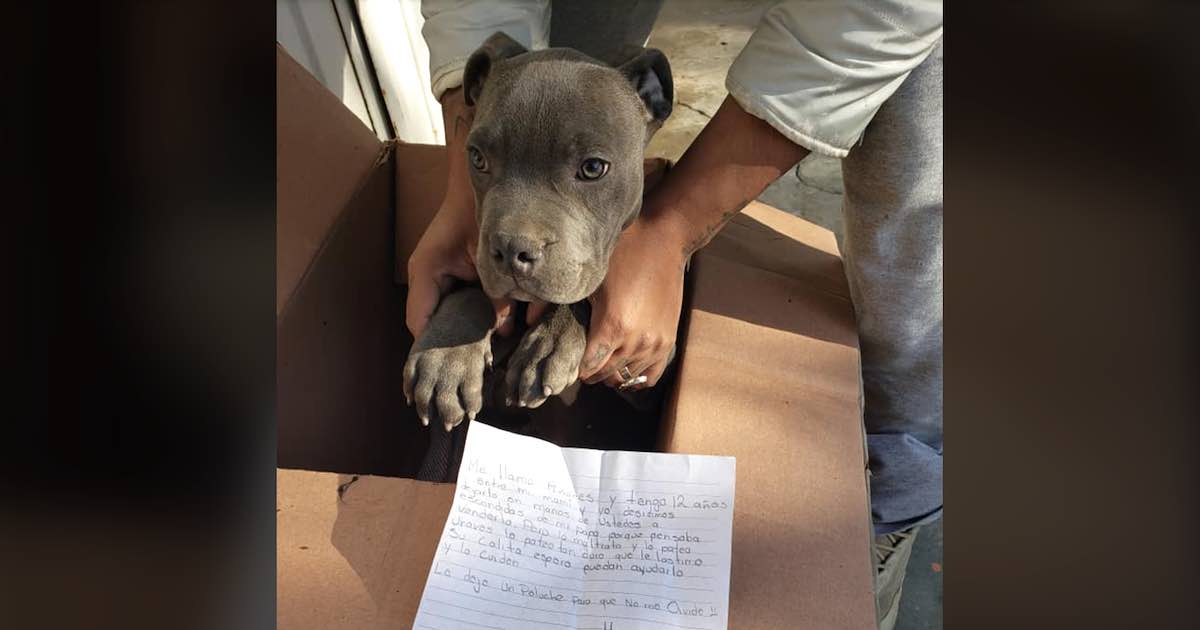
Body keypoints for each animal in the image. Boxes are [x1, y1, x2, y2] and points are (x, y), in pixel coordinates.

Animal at [400, 30, 667, 432]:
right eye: (477, 158)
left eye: (593, 168)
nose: (511, 250)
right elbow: (470, 289)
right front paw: (446, 356)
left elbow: (577, 290)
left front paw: (550, 342)